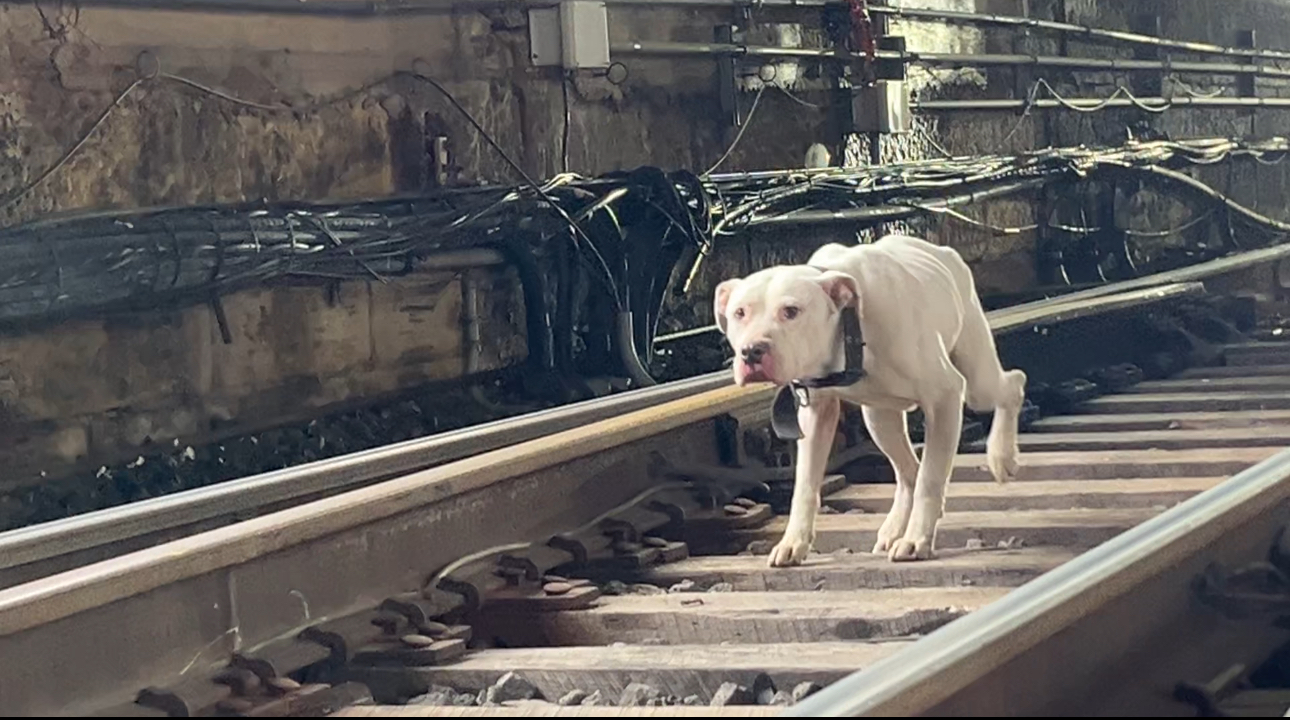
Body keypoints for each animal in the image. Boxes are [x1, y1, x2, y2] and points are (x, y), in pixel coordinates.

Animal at [712, 234, 1021, 567]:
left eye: (791, 311)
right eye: (739, 313)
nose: (751, 350)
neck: (848, 328)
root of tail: (943, 252)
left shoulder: (945, 396)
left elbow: (931, 478)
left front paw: (916, 540)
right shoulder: (815, 413)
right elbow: (805, 484)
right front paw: (793, 542)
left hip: (977, 381)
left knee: (1012, 385)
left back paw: (1002, 457)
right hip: (879, 419)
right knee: (908, 471)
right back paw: (894, 529)